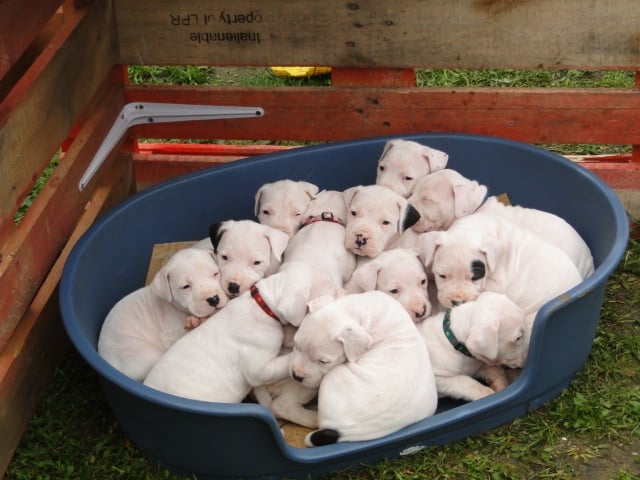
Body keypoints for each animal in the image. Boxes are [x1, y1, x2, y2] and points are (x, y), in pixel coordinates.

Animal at [97, 248, 228, 382]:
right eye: (185, 286)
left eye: (216, 273)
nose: (213, 299)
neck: (176, 308)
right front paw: (194, 322)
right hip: (144, 357)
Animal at [292, 288, 438, 446]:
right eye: (296, 344)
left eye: (323, 361)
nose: (296, 376)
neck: (356, 310)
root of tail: (345, 432)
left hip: (332, 377)